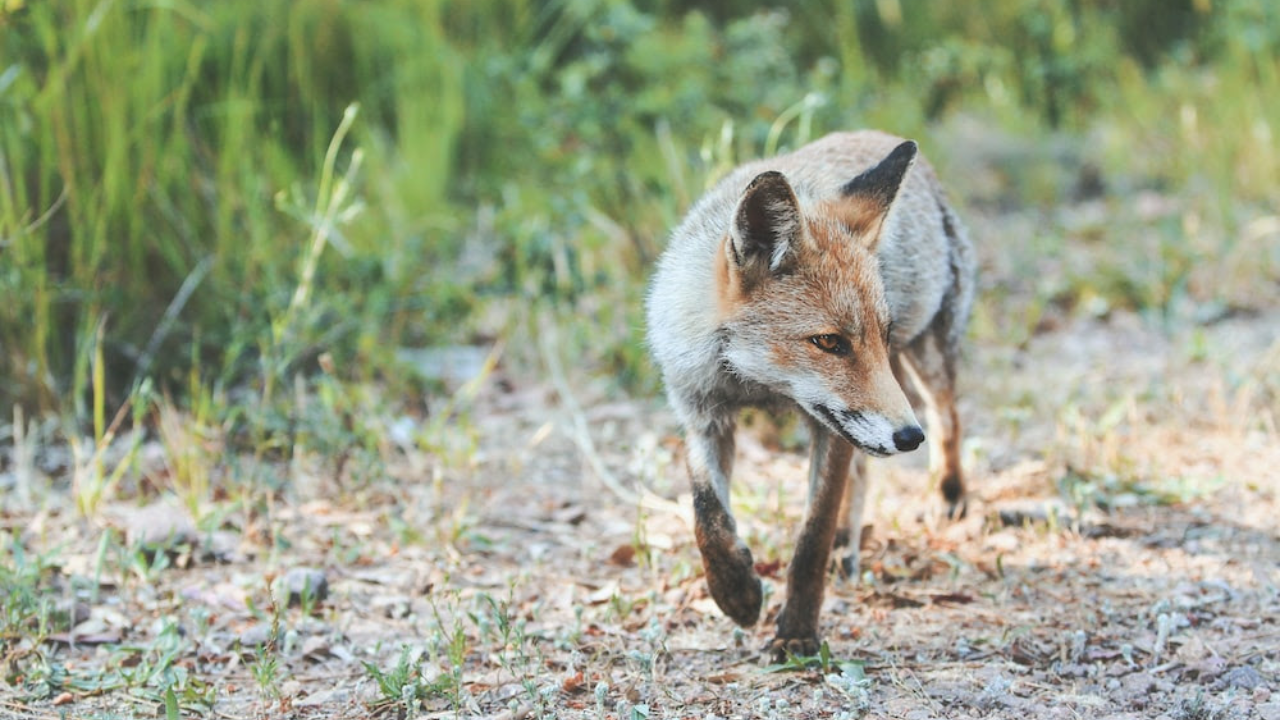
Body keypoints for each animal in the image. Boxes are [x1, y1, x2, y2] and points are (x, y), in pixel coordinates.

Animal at [646, 130, 975, 657]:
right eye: (829, 342)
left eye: (881, 335)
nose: (909, 438)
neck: (756, 384)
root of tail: (877, 134)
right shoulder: (702, 412)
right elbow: (706, 514)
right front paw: (734, 590)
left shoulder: (834, 429)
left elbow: (811, 538)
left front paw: (798, 631)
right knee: (865, 473)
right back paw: (848, 547)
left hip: (927, 357)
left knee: (948, 419)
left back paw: (947, 496)